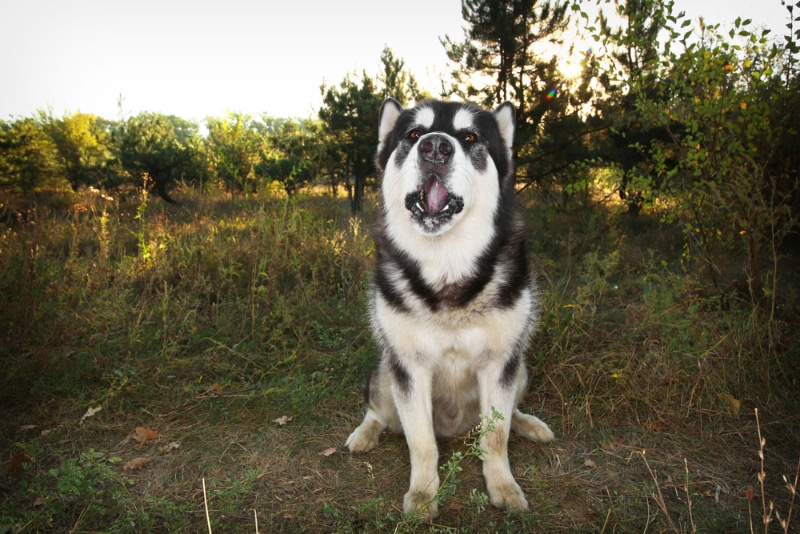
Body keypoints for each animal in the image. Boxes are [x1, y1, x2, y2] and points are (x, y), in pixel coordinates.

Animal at [346, 99, 552, 520]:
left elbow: (496, 435)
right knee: (377, 410)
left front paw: (503, 488)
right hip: (386, 372)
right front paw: (424, 495)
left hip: (520, 367)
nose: (435, 148)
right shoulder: (408, 367)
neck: (447, 268)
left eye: (470, 137)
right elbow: (421, 441)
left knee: (510, 414)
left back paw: (529, 424)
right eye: (412, 134)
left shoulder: (500, 363)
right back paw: (364, 433)